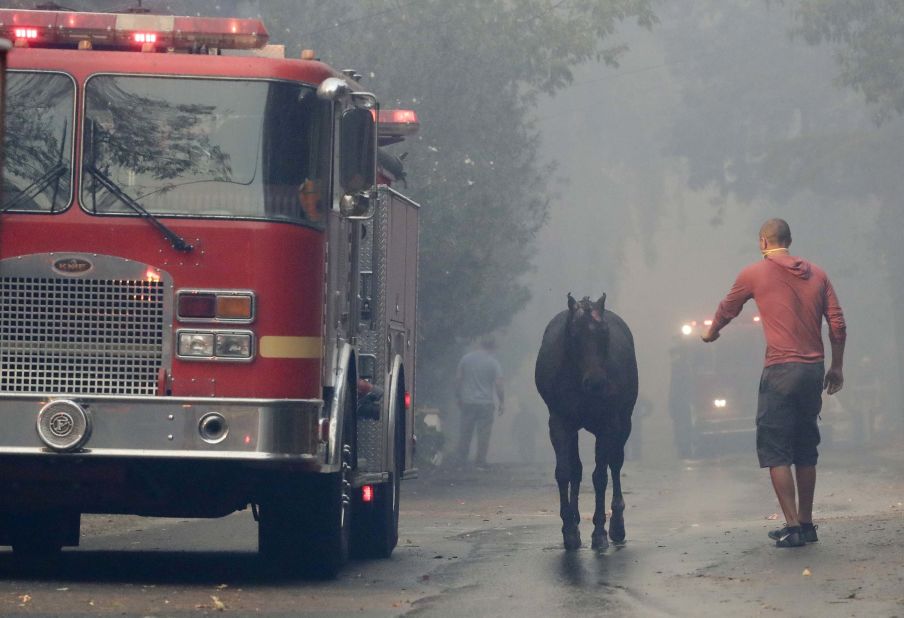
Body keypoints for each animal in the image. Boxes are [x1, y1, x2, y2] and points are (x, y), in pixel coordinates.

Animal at [532, 294, 640, 548]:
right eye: (574, 335)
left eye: (604, 333)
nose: (597, 382)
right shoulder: (560, 421)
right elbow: (565, 471)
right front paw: (569, 529)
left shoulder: (608, 423)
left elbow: (600, 475)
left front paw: (599, 532)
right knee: (577, 468)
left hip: (625, 420)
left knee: (615, 462)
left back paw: (617, 525)